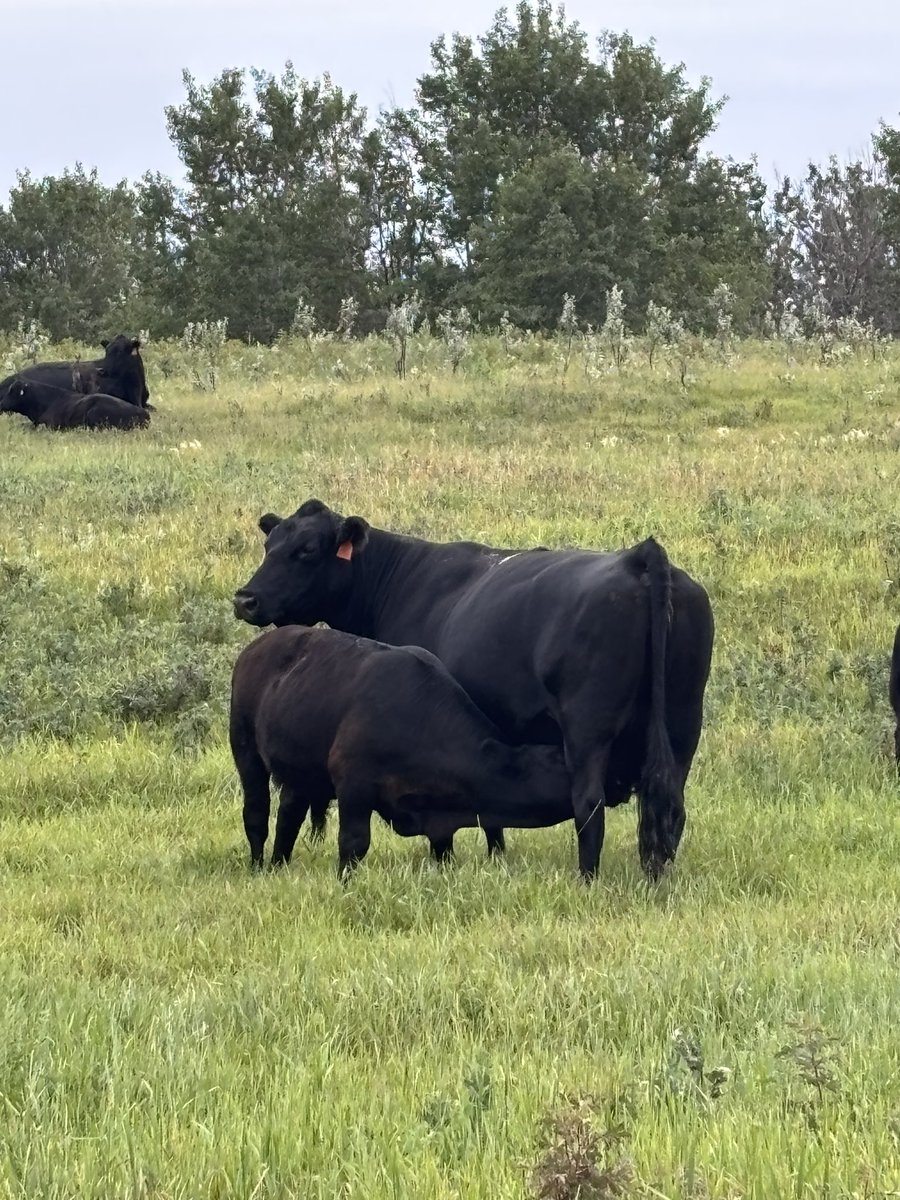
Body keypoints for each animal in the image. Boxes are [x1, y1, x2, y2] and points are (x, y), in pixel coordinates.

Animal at [230, 624, 571, 876]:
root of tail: (255, 647)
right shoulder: (353, 782)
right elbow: (354, 842)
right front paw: (345, 881)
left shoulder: (440, 820)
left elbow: (445, 851)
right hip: (245, 749)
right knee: (256, 812)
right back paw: (258, 867)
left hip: (301, 771)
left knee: (289, 814)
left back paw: (278, 865)